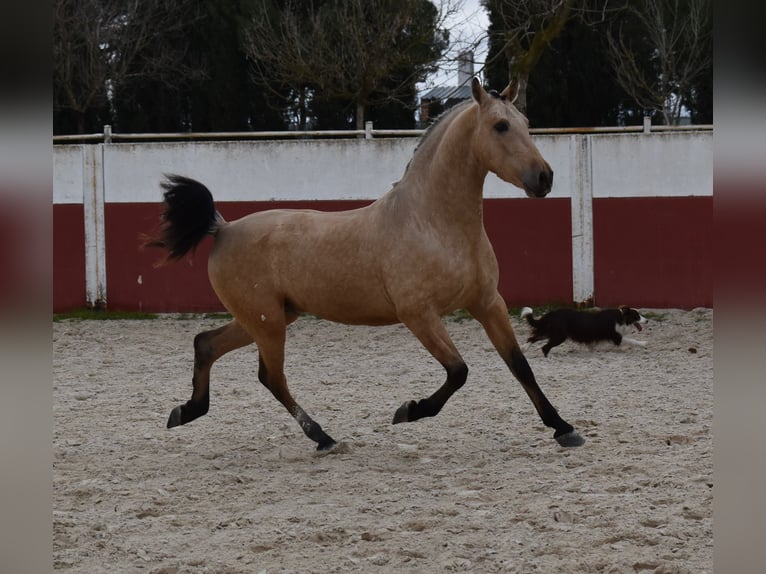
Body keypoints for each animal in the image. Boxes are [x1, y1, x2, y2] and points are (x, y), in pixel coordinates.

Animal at [146, 77, 588, 454]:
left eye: (526, 124)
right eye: (500, 126)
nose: (544, 178)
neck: (435, 223)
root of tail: (223, 228)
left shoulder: (487, 303)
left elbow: (520, 366)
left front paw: (564, 428)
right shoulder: (419, 314)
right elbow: (458, 371)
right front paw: (409, 410)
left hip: (268, 317)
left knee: (206, 343)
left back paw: (186, 411)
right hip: (267, 322)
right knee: (271, 377)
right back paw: (323, 438)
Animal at [520, 308, 648, 358]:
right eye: (637, 316)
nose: (647, 320)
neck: (621, 318)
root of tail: (550, 314)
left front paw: (592, 350)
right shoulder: (615, 336)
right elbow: (631, 340)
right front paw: (643, 343)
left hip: (549, 332)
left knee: (532, 338)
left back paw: (524, 349)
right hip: (559, 336)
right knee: (545, 347)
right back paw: (548, 357)